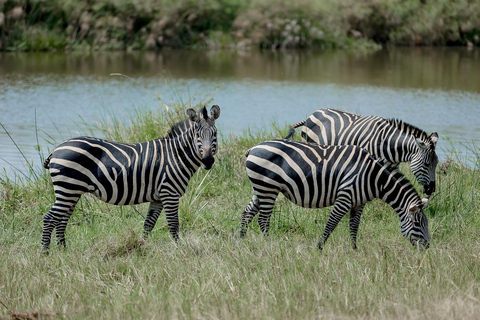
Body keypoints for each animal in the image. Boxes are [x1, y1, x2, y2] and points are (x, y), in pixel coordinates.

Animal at [41, 105, 221, 252]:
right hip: (68, 189)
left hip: (72, 191)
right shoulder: (169, 193)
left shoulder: (158, 197)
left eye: (215, 134)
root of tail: (56, 148)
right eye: (197, 134)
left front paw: (142, 246)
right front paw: (179, 249)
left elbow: (148, 224)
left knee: (62, 219)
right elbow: (173, 225)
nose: (208, 160)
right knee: (50, 218)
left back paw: (63, 250)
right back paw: (45, 253)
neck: (176, 155)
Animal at [240, 139, 432, 250]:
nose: (427, 247)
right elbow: (331, 224)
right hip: (268, 187)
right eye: (418, 223)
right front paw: (319, 248)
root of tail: (254, 148)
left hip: (261, 188)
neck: (373, 178)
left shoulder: (359, 202)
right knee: (263, 219)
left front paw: (354, 250)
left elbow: (354, 226)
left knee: (247, 212)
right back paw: (268, 244)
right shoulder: (345, 197)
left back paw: (240, 239)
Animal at [284, 108, 438, 195]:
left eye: (436, 164)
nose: (432, 190)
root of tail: (312, 114)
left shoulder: (391, 166)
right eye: (426, 164)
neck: (387, 142)